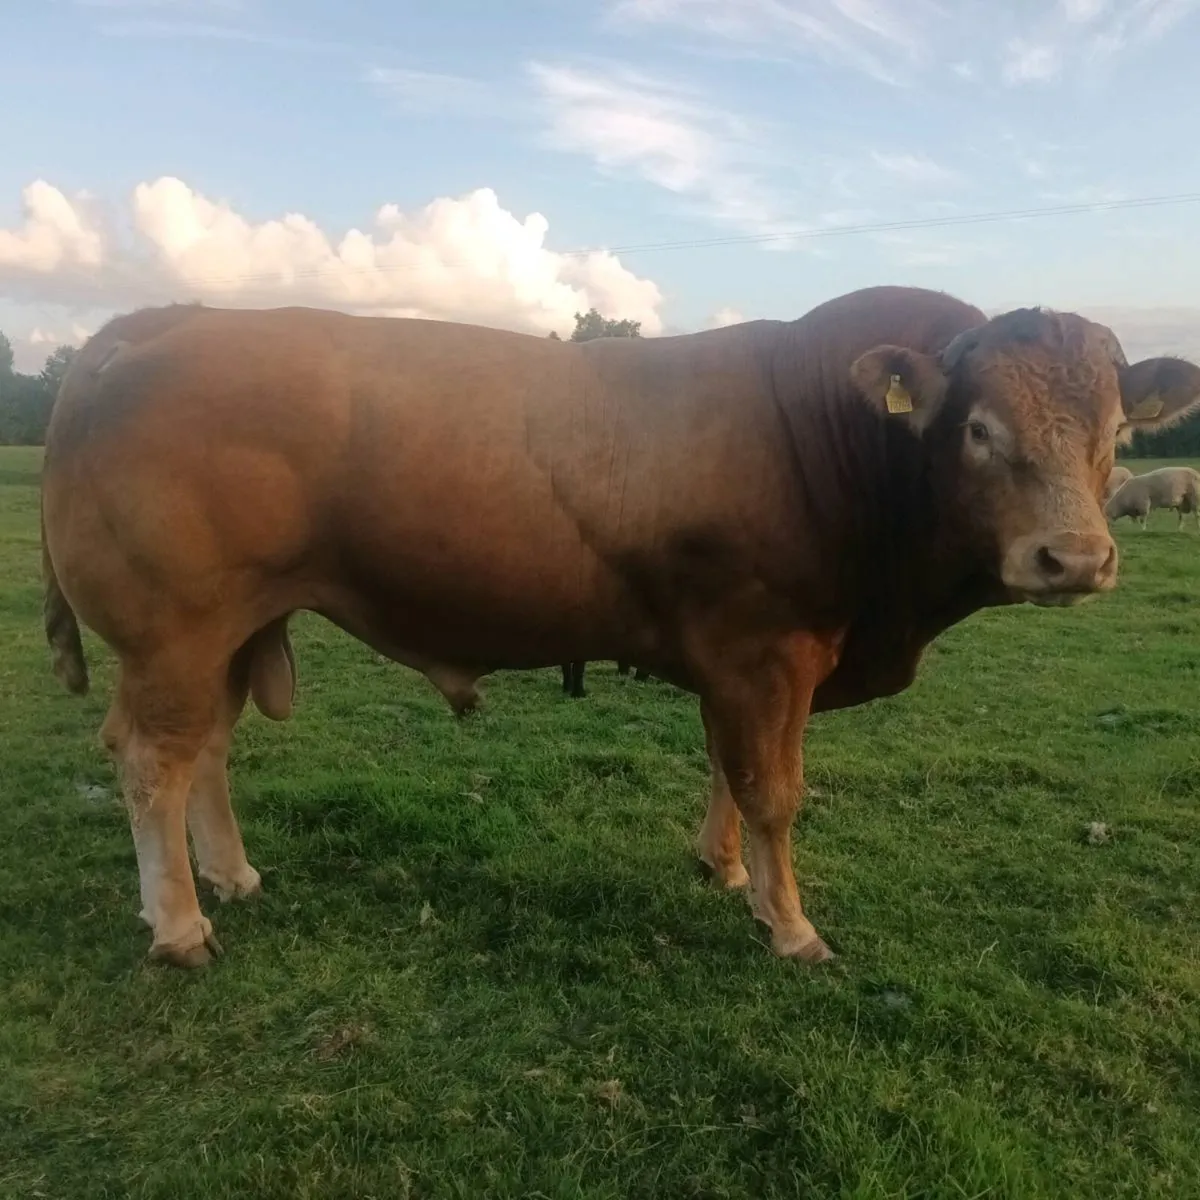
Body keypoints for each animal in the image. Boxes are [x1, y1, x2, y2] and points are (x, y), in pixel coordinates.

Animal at [39, 286, 1200, 971]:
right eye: (977, 429)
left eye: (1113, 431)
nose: (1075, 559)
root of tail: (152, 323)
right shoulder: (766, 651)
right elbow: (773, 789)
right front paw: (791, 925)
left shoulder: (754, 664)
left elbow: (731, 772)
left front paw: (725, 871)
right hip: (175, 631)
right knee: (152, 759)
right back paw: (180, 925)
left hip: (235, 627)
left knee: (207, 752)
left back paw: (231, 877)